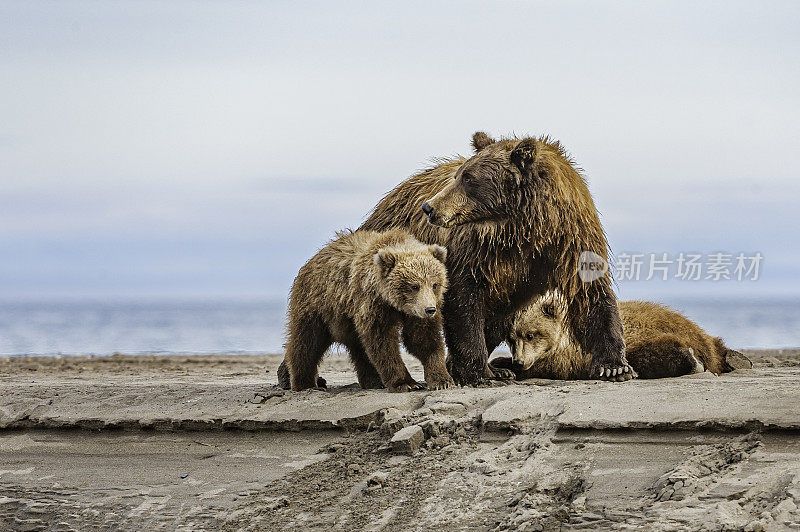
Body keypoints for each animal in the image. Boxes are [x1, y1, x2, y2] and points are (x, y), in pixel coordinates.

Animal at [360, 132, 632, 382]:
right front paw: (480, 372)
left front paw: (614, 366)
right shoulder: (477, 249)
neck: (523, 227)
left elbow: (591, 292)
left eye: (469, 178)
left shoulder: (570, 240)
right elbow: (464, 299)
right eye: (459, 175)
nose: (429, 207)